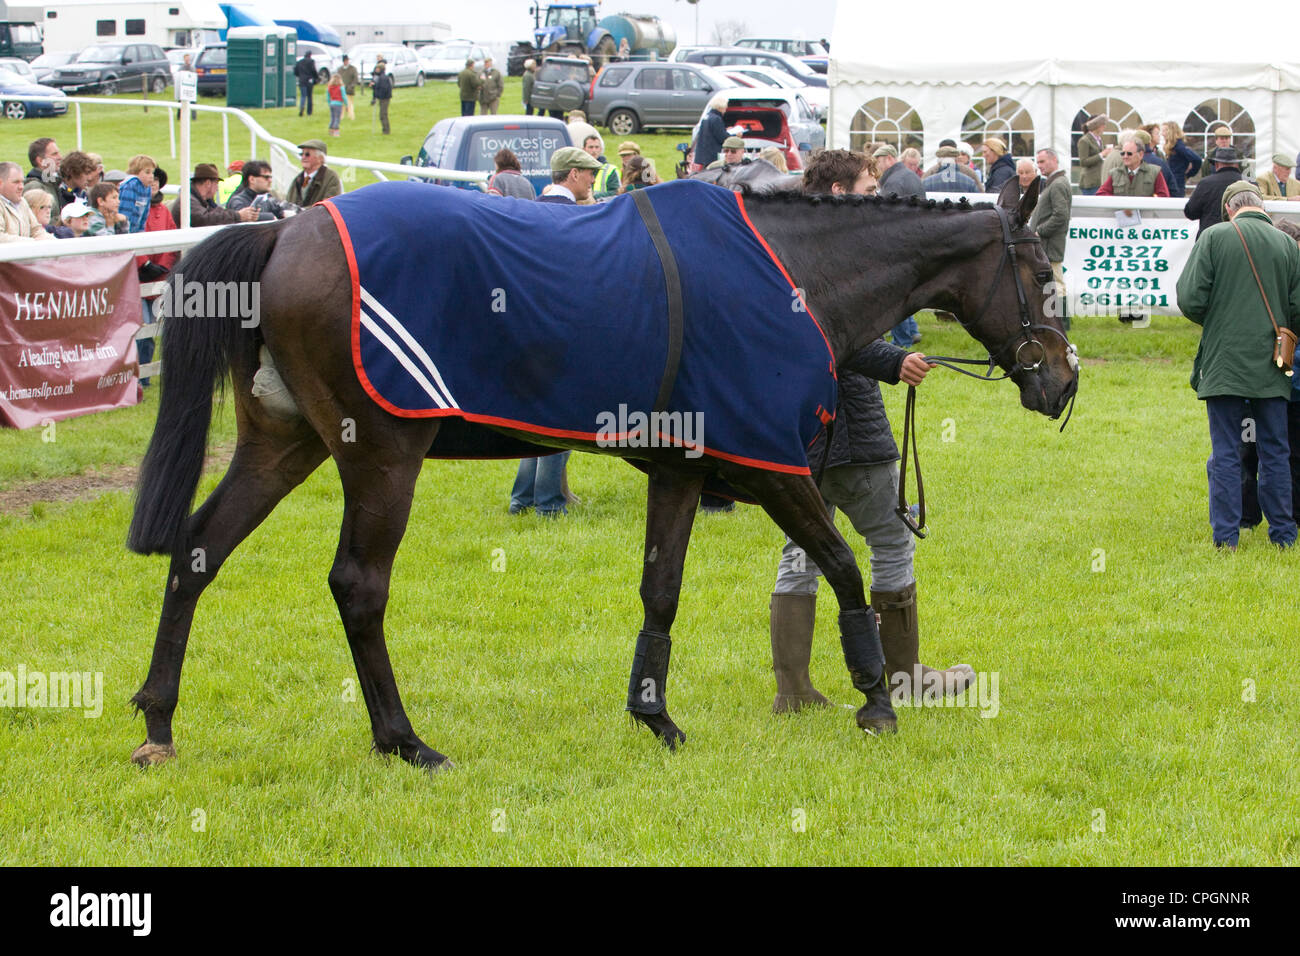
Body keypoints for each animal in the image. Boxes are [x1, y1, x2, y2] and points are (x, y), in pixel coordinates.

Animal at [124, 178, 1077, 770]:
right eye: (1041, 271)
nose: (1062, 381)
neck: (792, 273)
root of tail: (290, 226)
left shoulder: (683, 470)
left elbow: (662, 591)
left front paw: (654, 715)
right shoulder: (770, 466)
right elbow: (843, 564)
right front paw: (875, 697)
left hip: (284, 443)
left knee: (198, 553)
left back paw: (160, 720)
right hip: (381, 456)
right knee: (358, 585)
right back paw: (404, 740)